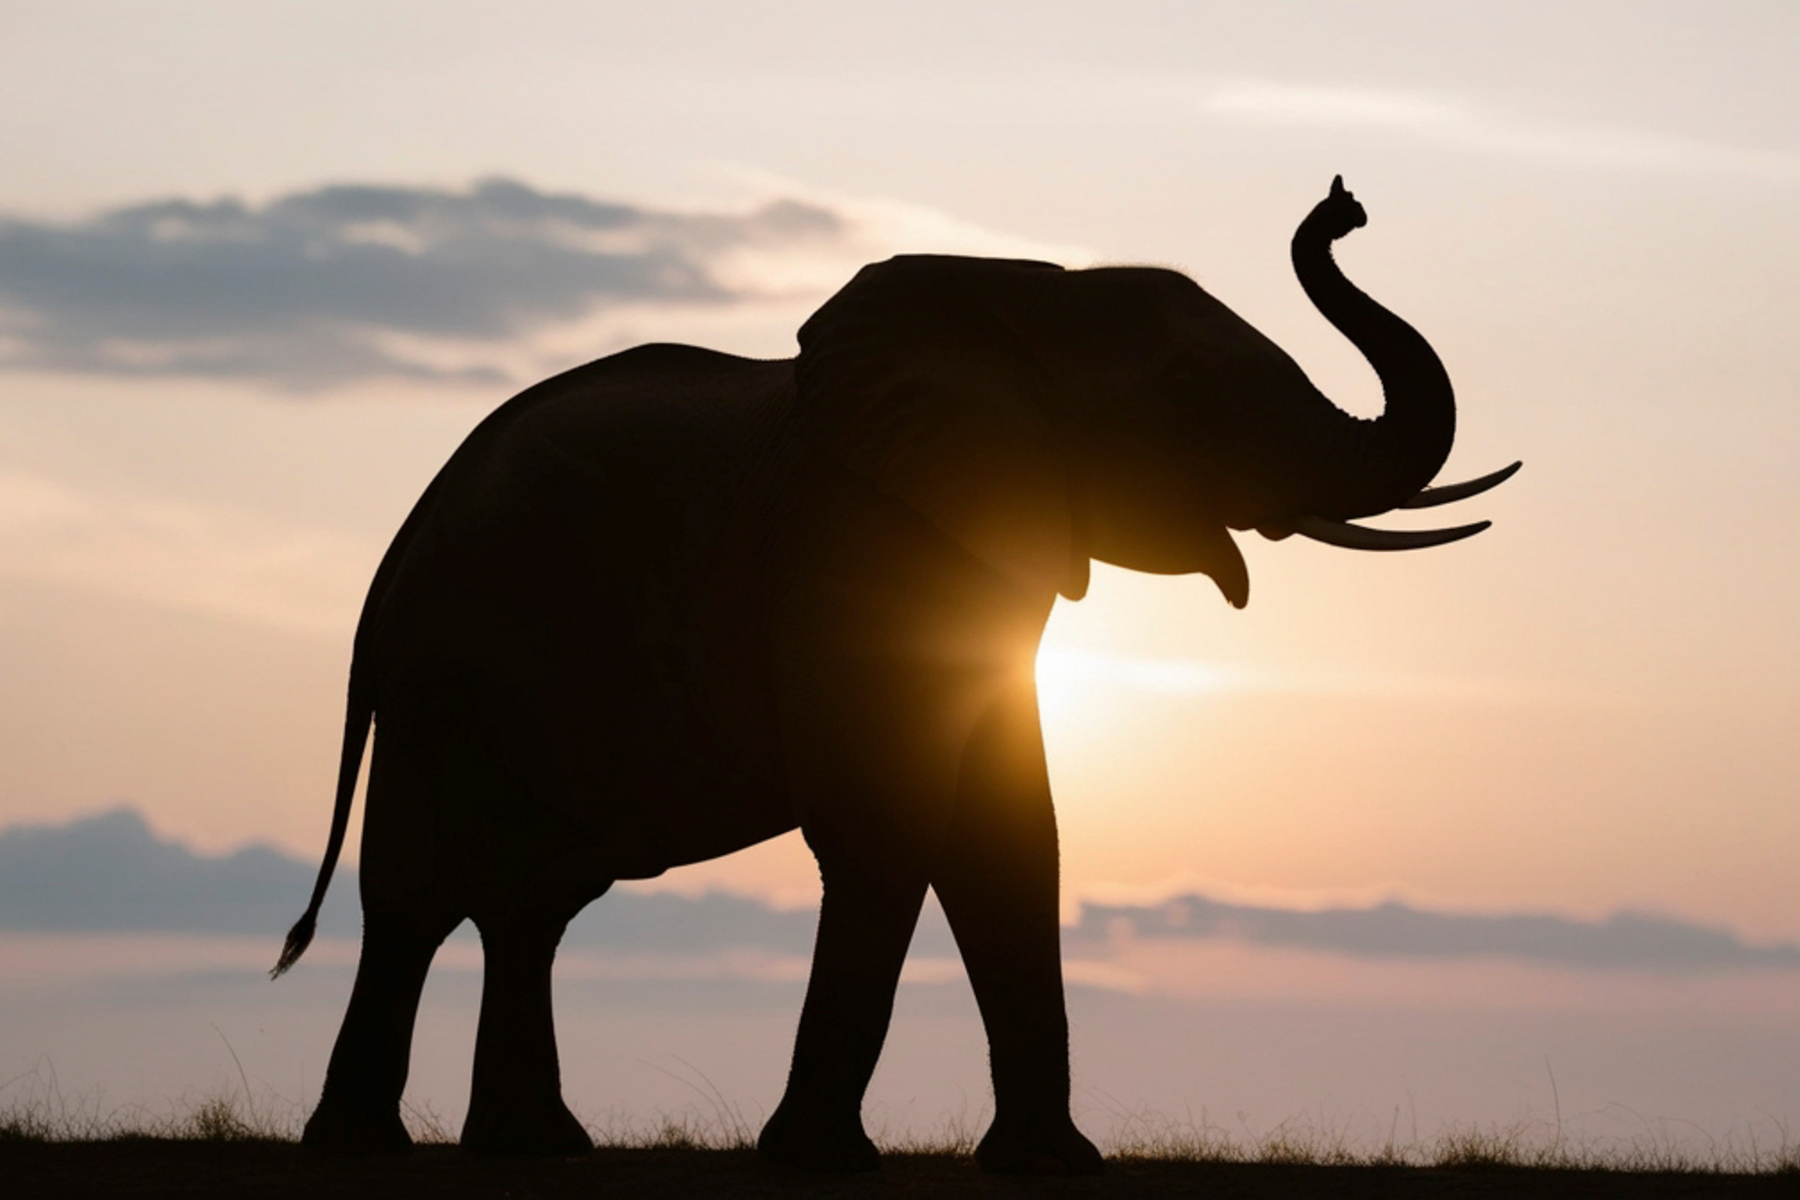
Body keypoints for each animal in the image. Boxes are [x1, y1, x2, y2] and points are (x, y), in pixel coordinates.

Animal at [273, 177, 1514, 1173]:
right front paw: (817, 1160)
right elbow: (892, 818)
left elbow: (1008, 827)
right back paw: (366, 1148)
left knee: (531, 900)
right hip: (452, 672)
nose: (1344, 206)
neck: (1027, 301)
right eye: (1193, 399)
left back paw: (533, 1147)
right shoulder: (859, 544)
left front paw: (1049, 1166)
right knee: (422, 895)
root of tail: (402, 540)